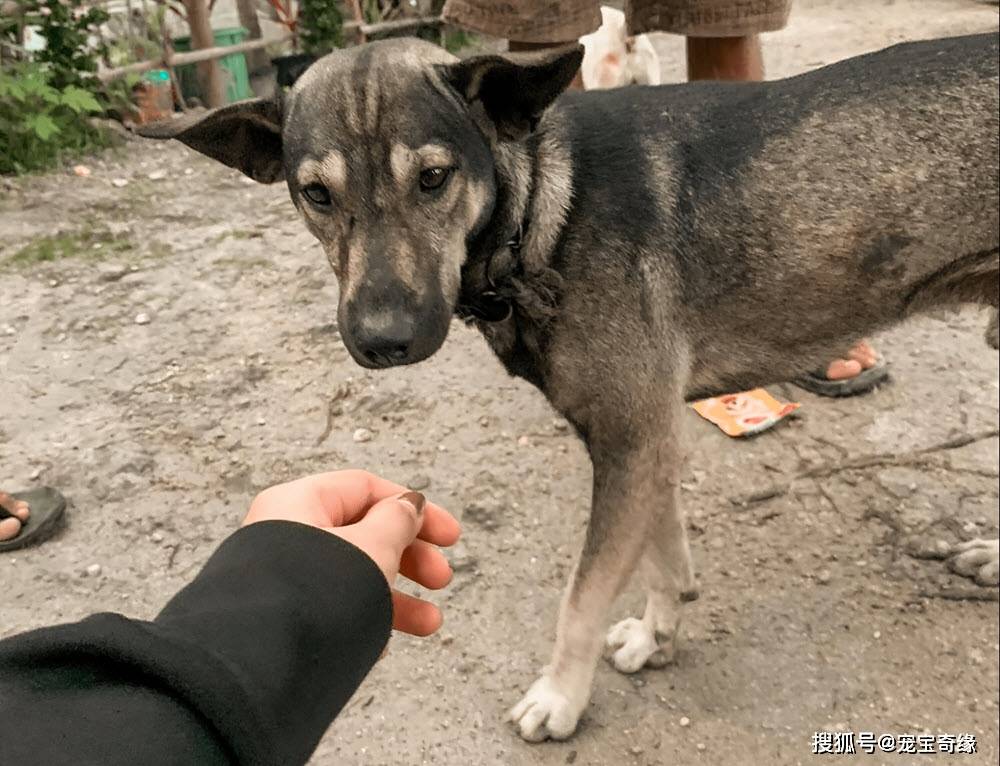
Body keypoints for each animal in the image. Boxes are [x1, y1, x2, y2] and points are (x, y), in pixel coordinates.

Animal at [143, 31, 1000, 744]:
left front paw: (560, 696)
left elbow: (582, 597)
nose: (384, 340)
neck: (536, 213)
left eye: (433, 178)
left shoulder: (631, 439)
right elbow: (663, 554)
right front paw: (657, 632)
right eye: (316, 194)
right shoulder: (646, 440)